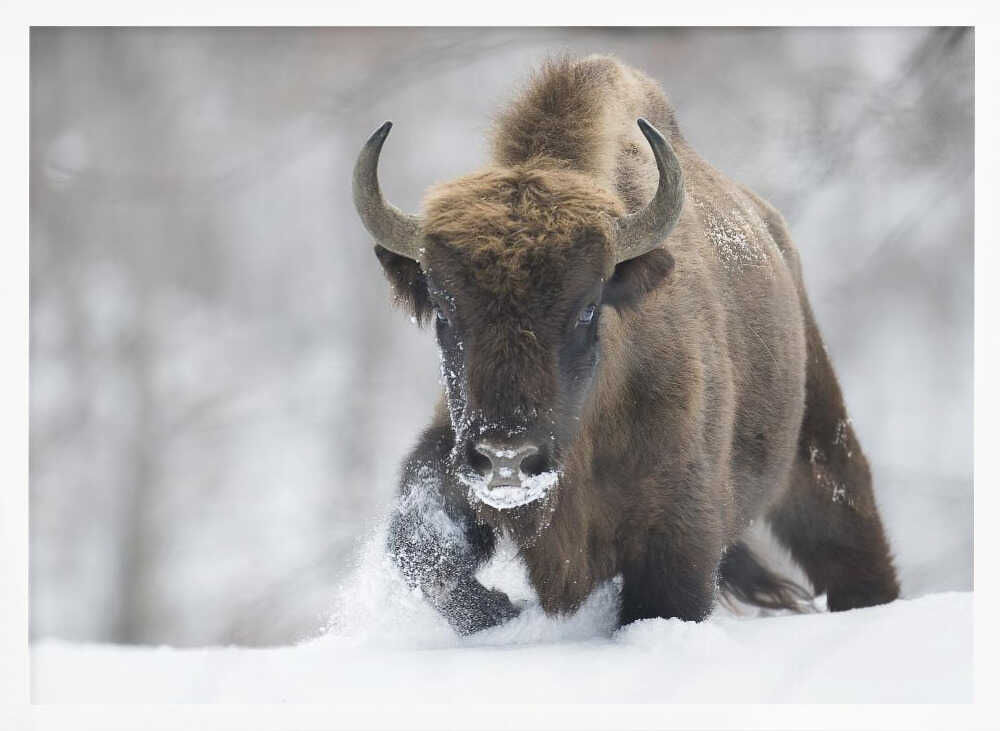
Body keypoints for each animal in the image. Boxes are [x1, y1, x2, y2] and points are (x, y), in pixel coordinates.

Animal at [352, 54, 899, 634]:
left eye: (588, 307)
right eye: (443, 308)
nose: (506, 458)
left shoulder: (678, 536)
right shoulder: (449, 457)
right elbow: (422, 548)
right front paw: (502, 610)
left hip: (820, 448)